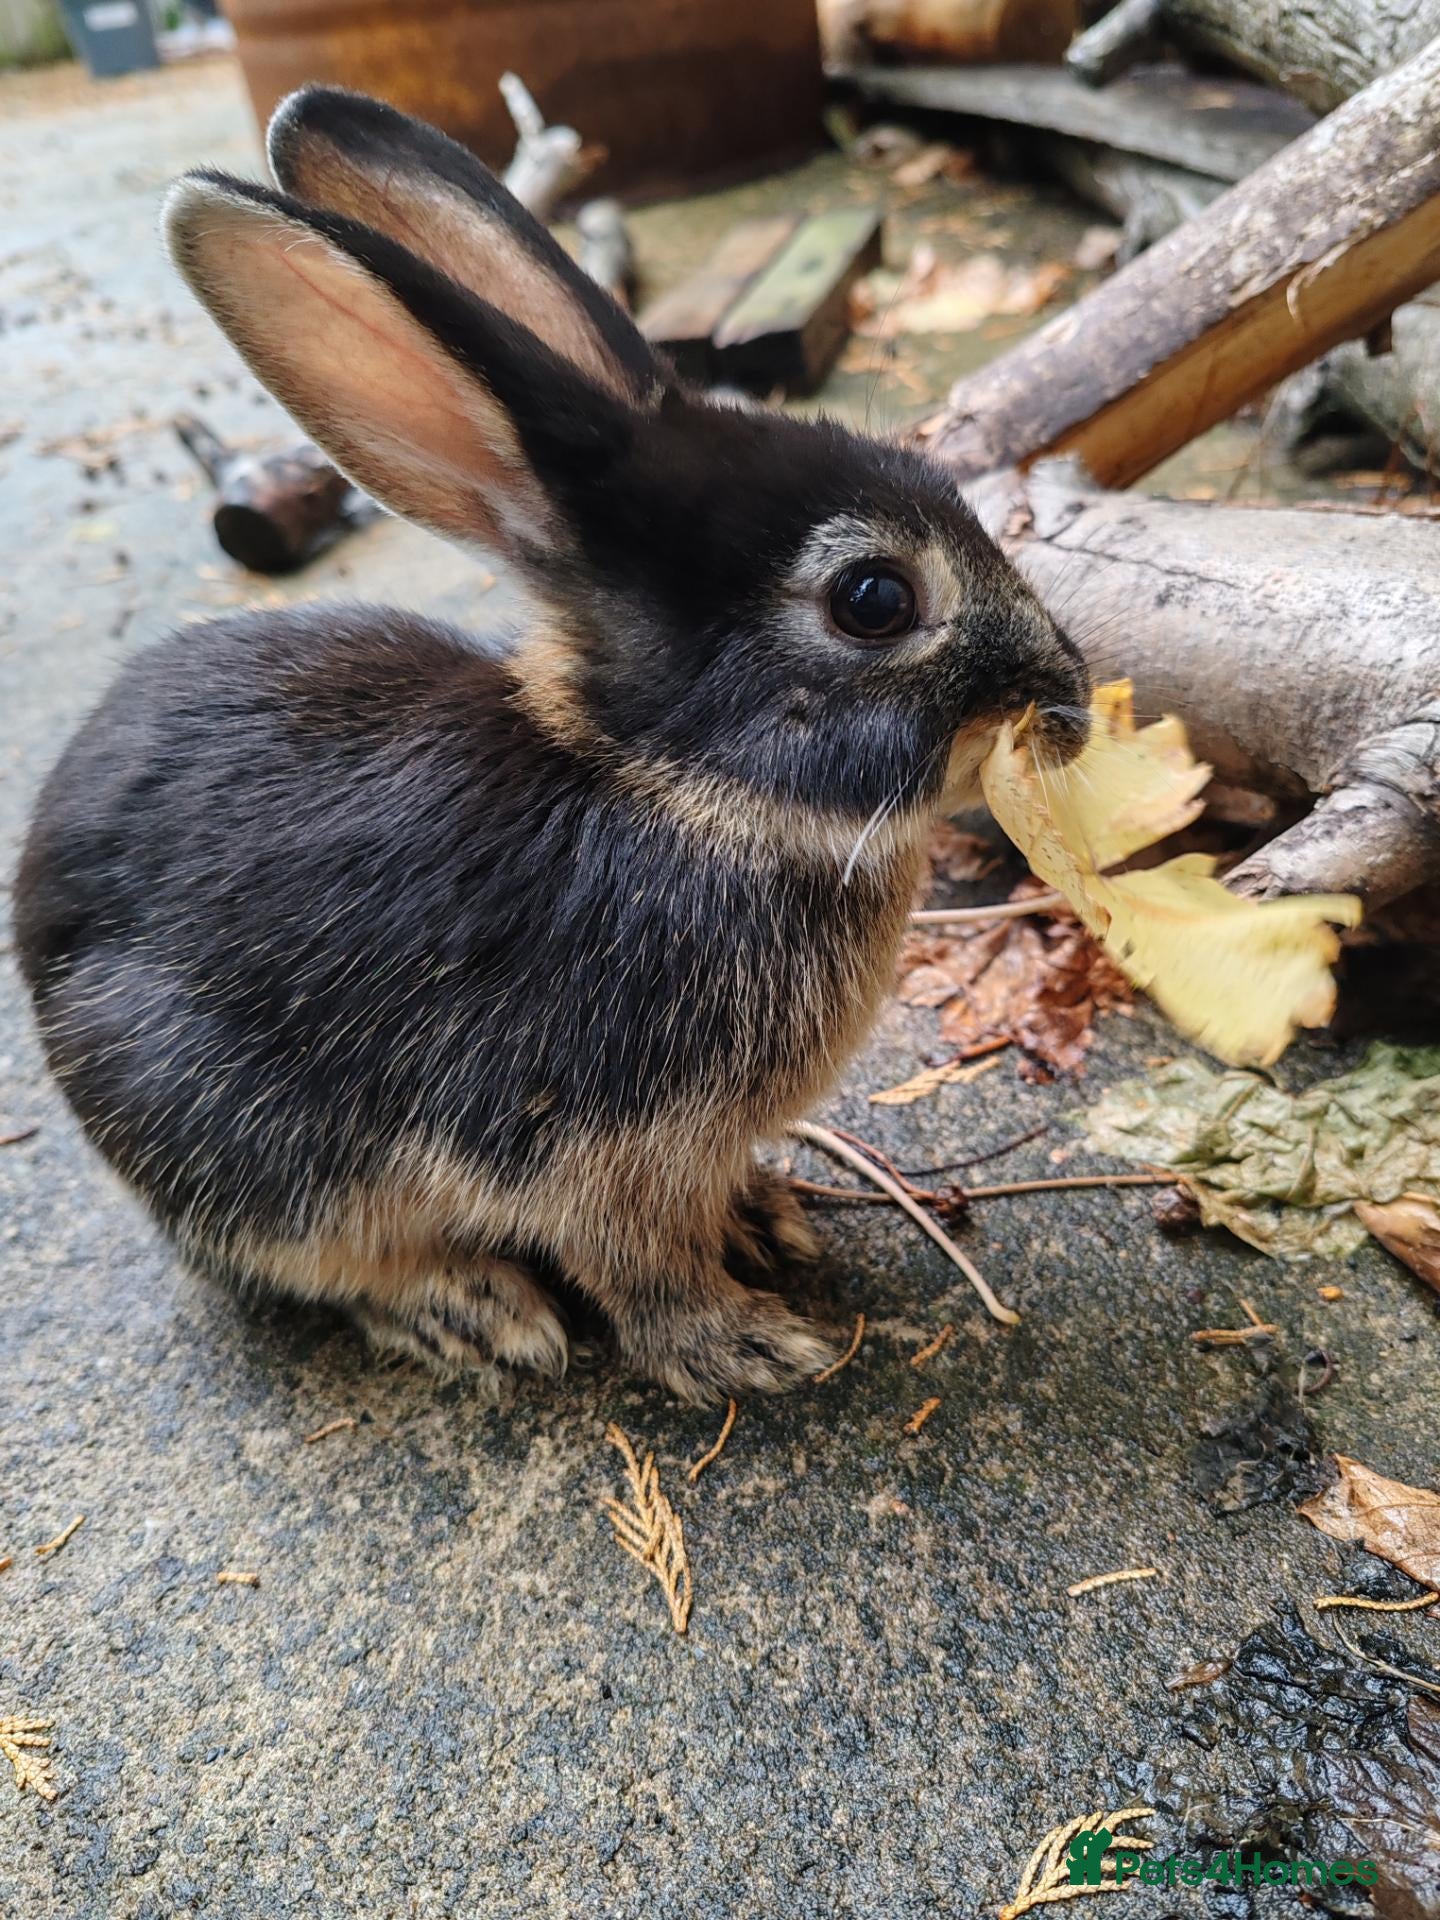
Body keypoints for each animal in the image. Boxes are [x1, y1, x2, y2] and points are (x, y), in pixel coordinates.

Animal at [13, 87, 1090, 1403]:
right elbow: (639, 1270)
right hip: (236, 1138)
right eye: (874, 600)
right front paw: (748, 1346)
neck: (670, 787)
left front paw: (765, 1222)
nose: (1067, 695)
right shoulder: (589, 1150)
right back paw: (471, 1312)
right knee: (319, 1260)